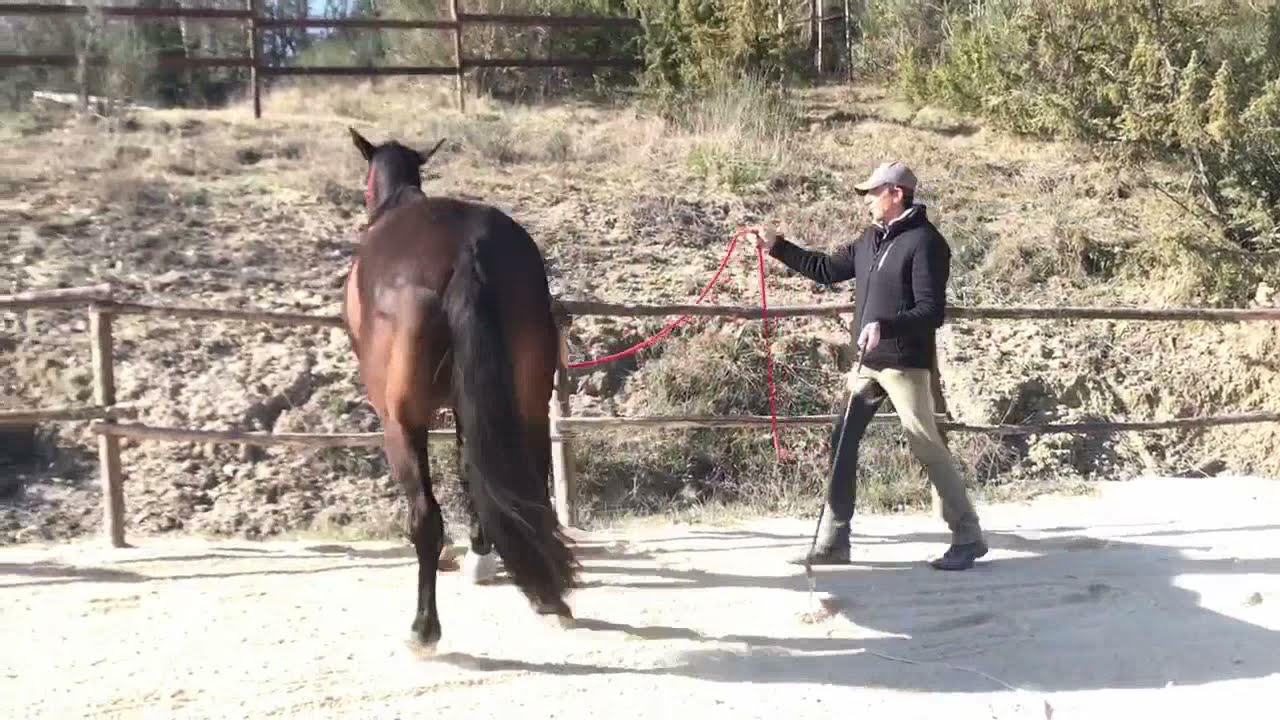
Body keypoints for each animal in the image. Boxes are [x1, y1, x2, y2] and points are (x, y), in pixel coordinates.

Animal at [340, 127, 579, 648]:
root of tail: (467, 249)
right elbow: (475, 472)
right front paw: (481, 553)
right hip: (528, 404)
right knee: (528, 490)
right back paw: (548, 595)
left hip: (401, 422)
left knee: (425, 517)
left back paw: (424, 628)